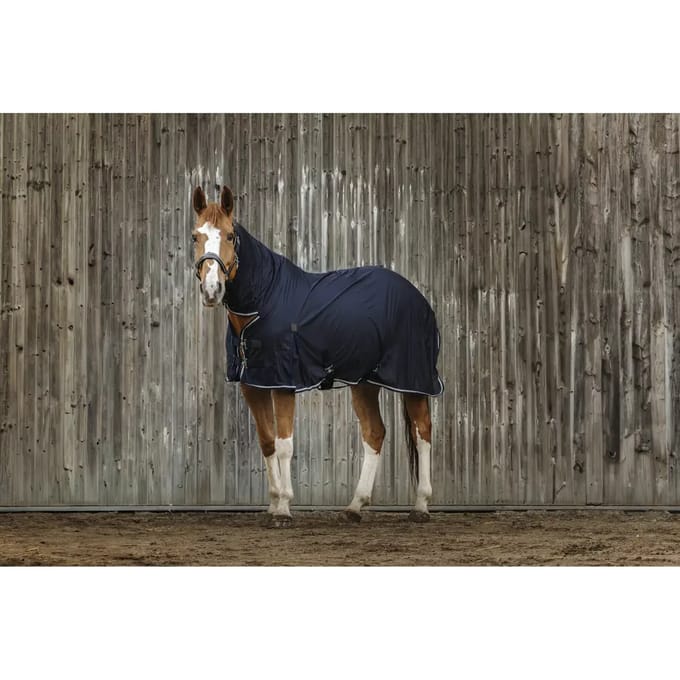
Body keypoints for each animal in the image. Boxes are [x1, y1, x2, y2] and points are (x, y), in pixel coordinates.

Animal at [192, 185, 443, 526]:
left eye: (230, 236)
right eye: (196, 236)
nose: (212, 290)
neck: (264, 302)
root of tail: (418, 297)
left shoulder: (283, 383)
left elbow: (284, 444)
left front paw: (284, 508)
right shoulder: (253, 384)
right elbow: (267, 441)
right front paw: (273, 503)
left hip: (414, 379)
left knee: (423, 432)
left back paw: (420, 505)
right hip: (365, 382)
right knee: (375, 433)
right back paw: (354, 506)